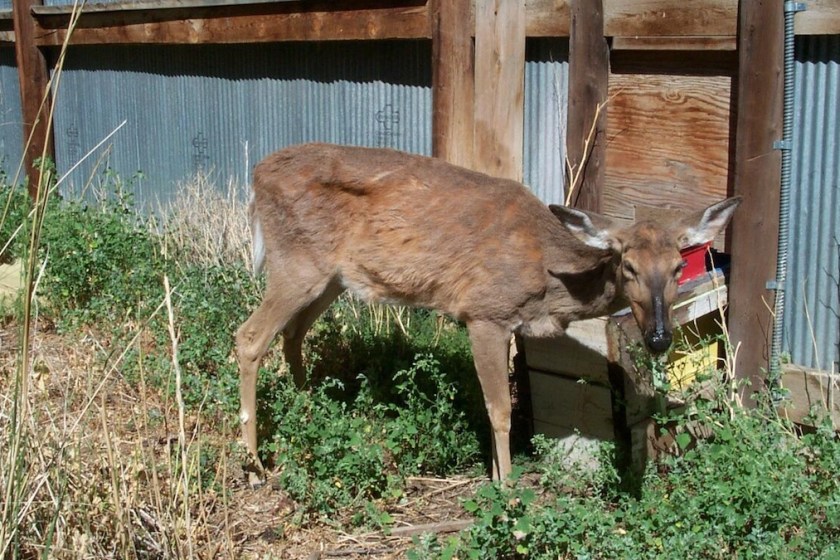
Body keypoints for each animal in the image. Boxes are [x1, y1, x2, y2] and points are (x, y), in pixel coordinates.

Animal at [235, 142, 741, 485]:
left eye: (678, 267)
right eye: (628, 265)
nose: (658, 337)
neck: (548, 279)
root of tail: (256, 176)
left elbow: (492, 404)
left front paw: (499, 477)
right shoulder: (484, 313)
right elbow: (500, 410)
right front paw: (508, 489)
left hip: (331, 278)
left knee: (292, 335)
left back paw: (309, 413)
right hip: (296, 263)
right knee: (249, 337)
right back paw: (256, 465)